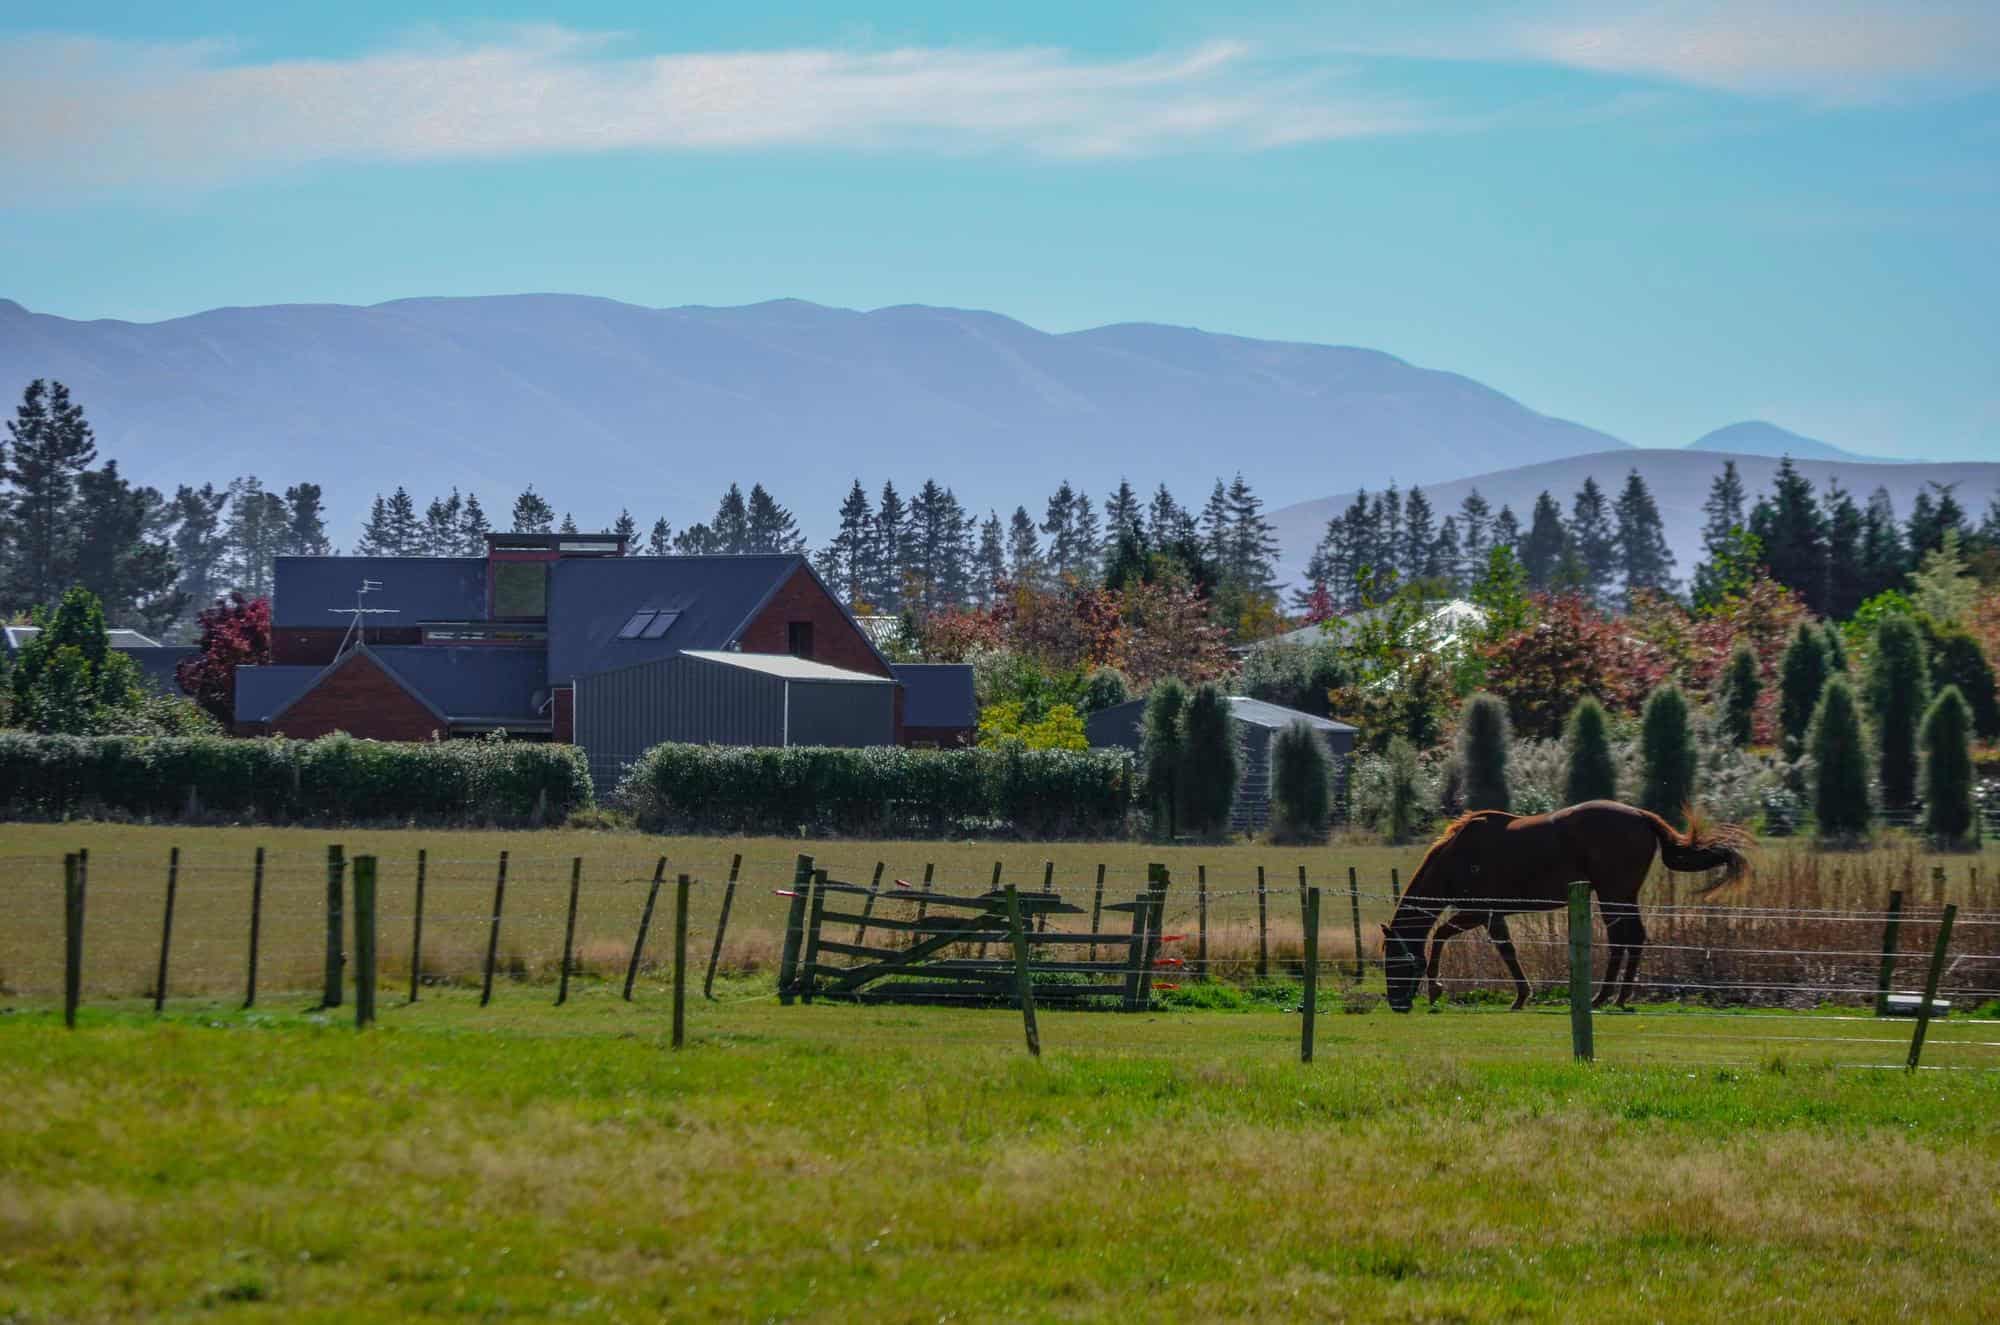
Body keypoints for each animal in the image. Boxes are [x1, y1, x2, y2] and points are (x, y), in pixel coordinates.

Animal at [1378, 800, 1751, 1014]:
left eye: (1394, 960)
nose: (1396, 1003)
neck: (1458, 856)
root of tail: (1640, 815)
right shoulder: (1493, 915)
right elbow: (1507, 950)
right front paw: (1521, 996)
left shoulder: (1479, 912)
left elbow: (1442, 935)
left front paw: (1436, 989)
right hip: (1622, 897)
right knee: (1632, 938)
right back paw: (1618, 997)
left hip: (1613, 896)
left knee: (1623, 939)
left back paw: (1605, 997)